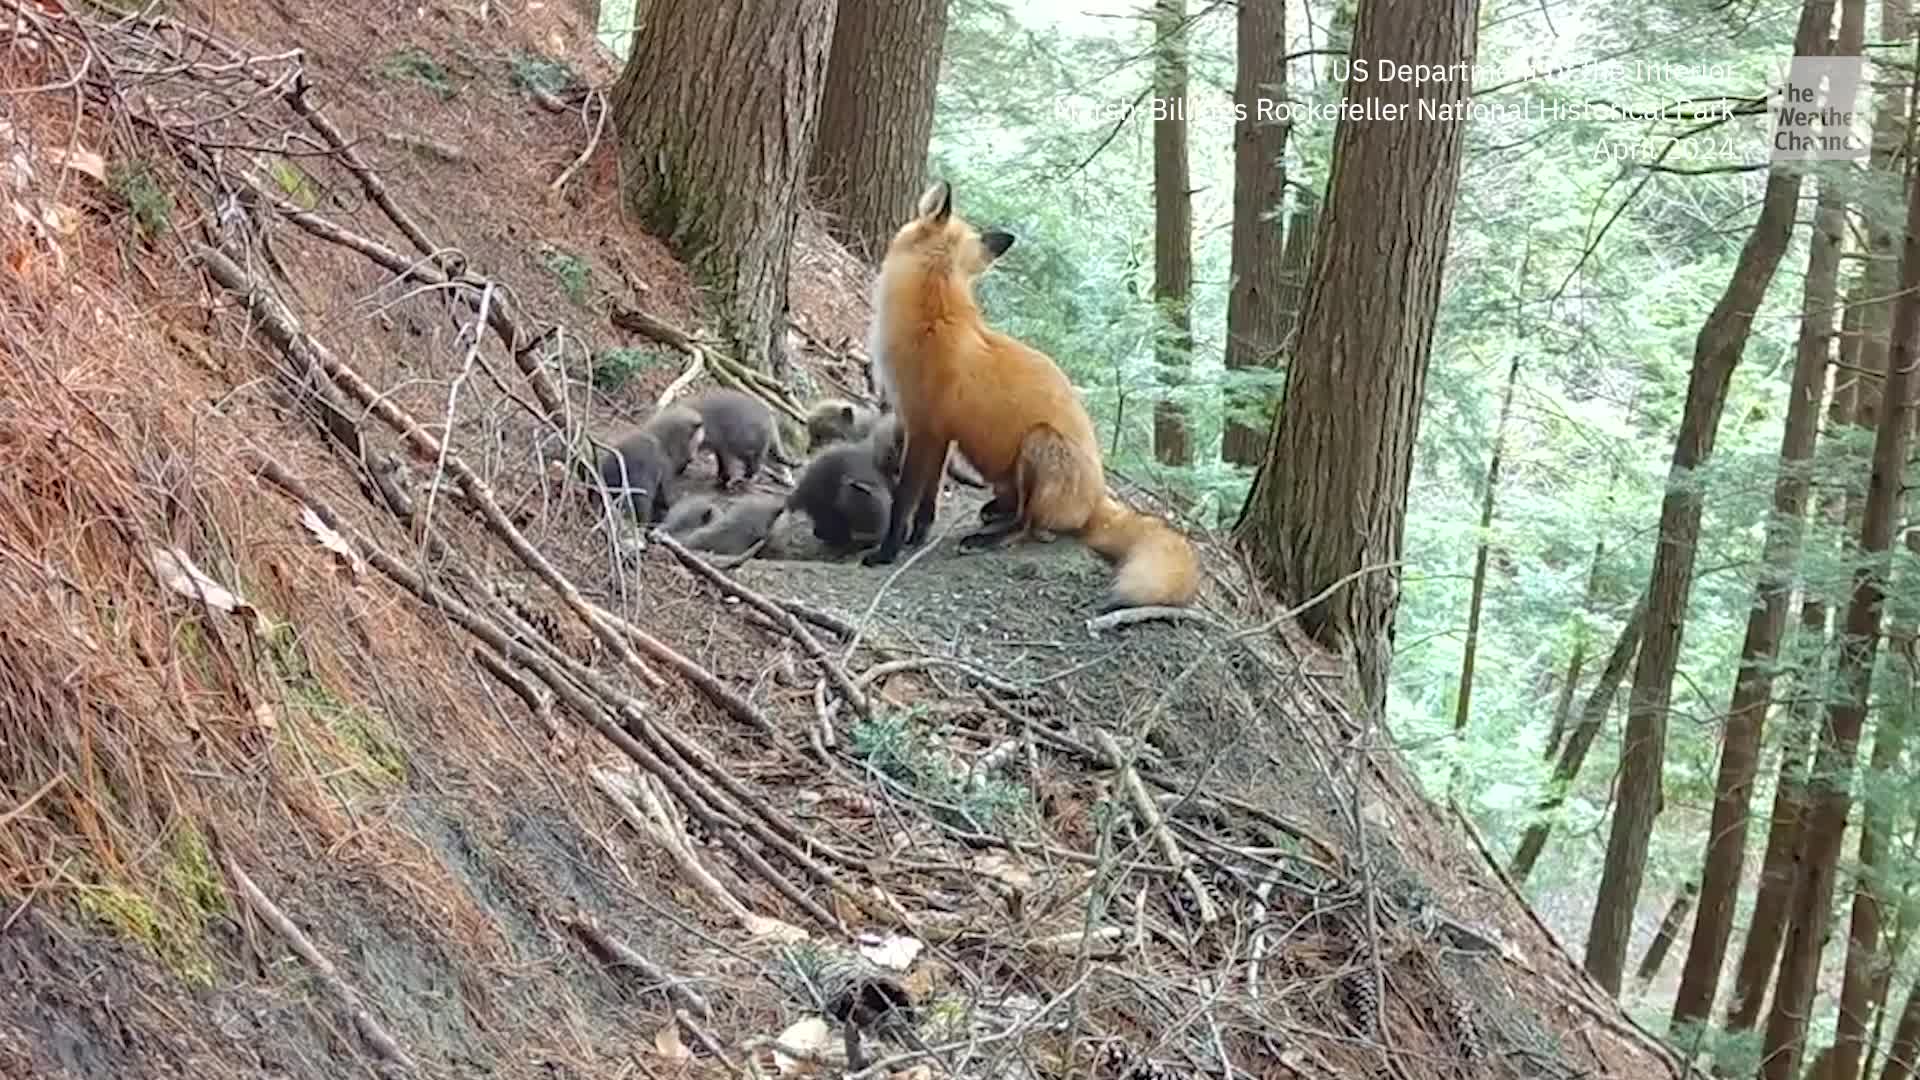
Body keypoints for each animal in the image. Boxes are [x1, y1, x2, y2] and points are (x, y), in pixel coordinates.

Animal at [860, 181, 1199, 613]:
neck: (933, 320)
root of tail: (1098, 500)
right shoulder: (941, 435)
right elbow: (928, 500)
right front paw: (917, 537)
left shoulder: (923, 429)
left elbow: (905, 497)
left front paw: (888, 551)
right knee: (1018, 511)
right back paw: (994, 512)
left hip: (1039, 442)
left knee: (1027, 527)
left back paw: (985, 539)